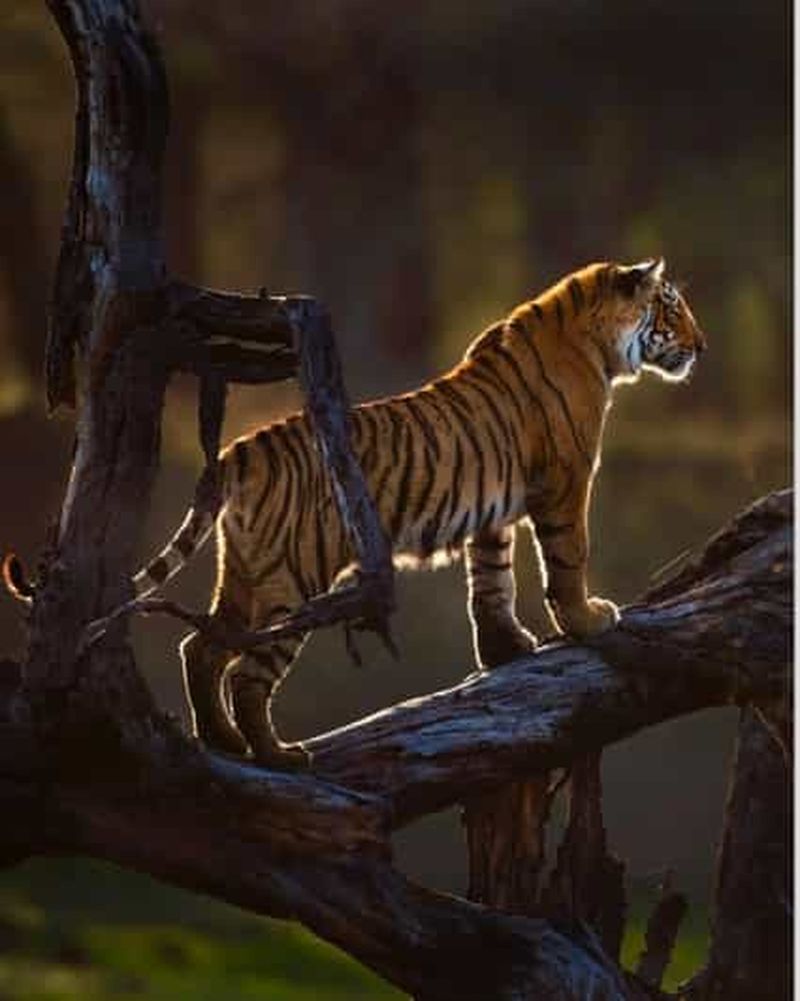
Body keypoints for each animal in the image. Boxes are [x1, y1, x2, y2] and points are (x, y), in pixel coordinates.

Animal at [4, 258, 706, 768]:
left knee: (201, 647)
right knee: (248, 674)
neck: (597, 343)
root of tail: (237, 449)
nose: (700, 346)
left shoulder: (496, 508)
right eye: (671, 307)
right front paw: (587, 619)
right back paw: (279, 755)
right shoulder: (562, 483)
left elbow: (492, 579)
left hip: (248, 572)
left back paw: (224, 744)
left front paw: (505, 649)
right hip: (295, 579)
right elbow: (566, 558)